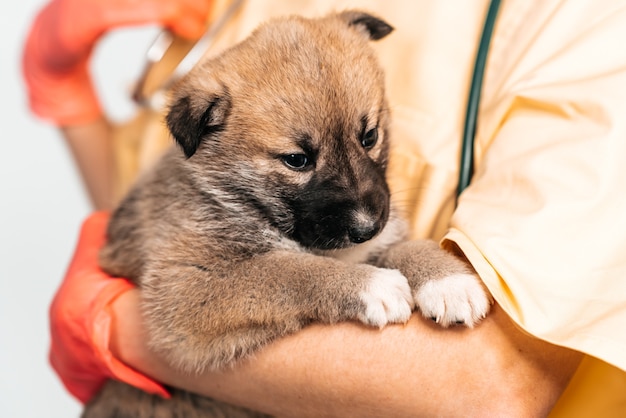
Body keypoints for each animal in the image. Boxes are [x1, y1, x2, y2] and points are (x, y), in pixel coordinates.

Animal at [83, 10, 490, 418]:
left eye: (370, 137)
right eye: (297, 160)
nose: (367, 228)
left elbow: (403, 247)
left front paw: (447, 280)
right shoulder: (184, 288)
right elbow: (287, 270)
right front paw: (373, 285)